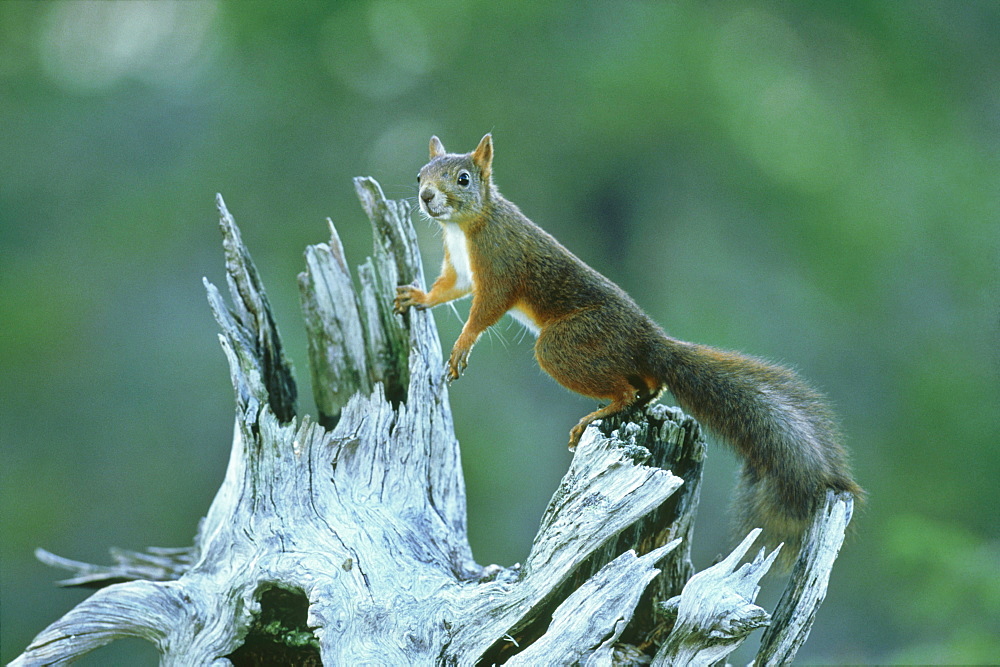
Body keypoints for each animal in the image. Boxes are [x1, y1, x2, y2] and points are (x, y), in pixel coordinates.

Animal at [394, 133, 864, 560]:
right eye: (419, 174)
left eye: (463, 179)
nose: (426, 196)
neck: (464, 227)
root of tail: (649, 339)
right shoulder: (461, 269)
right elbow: (448, 289)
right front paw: (418, 297)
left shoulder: (500, 263)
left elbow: (485, 310)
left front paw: (462, 345)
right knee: (648, 387)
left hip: (569, 344)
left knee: (621, 389)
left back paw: (596, 415)